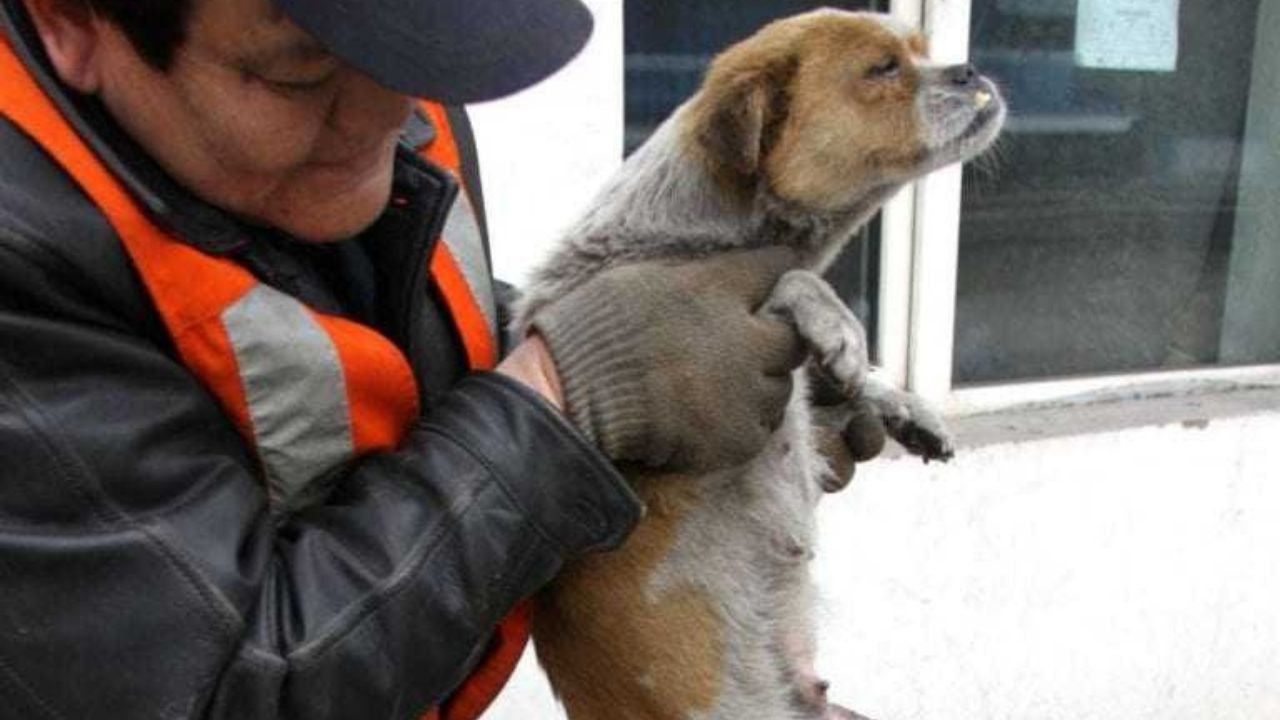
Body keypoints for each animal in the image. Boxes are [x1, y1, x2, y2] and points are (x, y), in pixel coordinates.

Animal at [514, 11, 1003, 717]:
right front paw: (840, 328)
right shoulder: (735, 304)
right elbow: (795, 282)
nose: (970, 69)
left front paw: (903, 406)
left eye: (921, 51)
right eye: (883, 68)